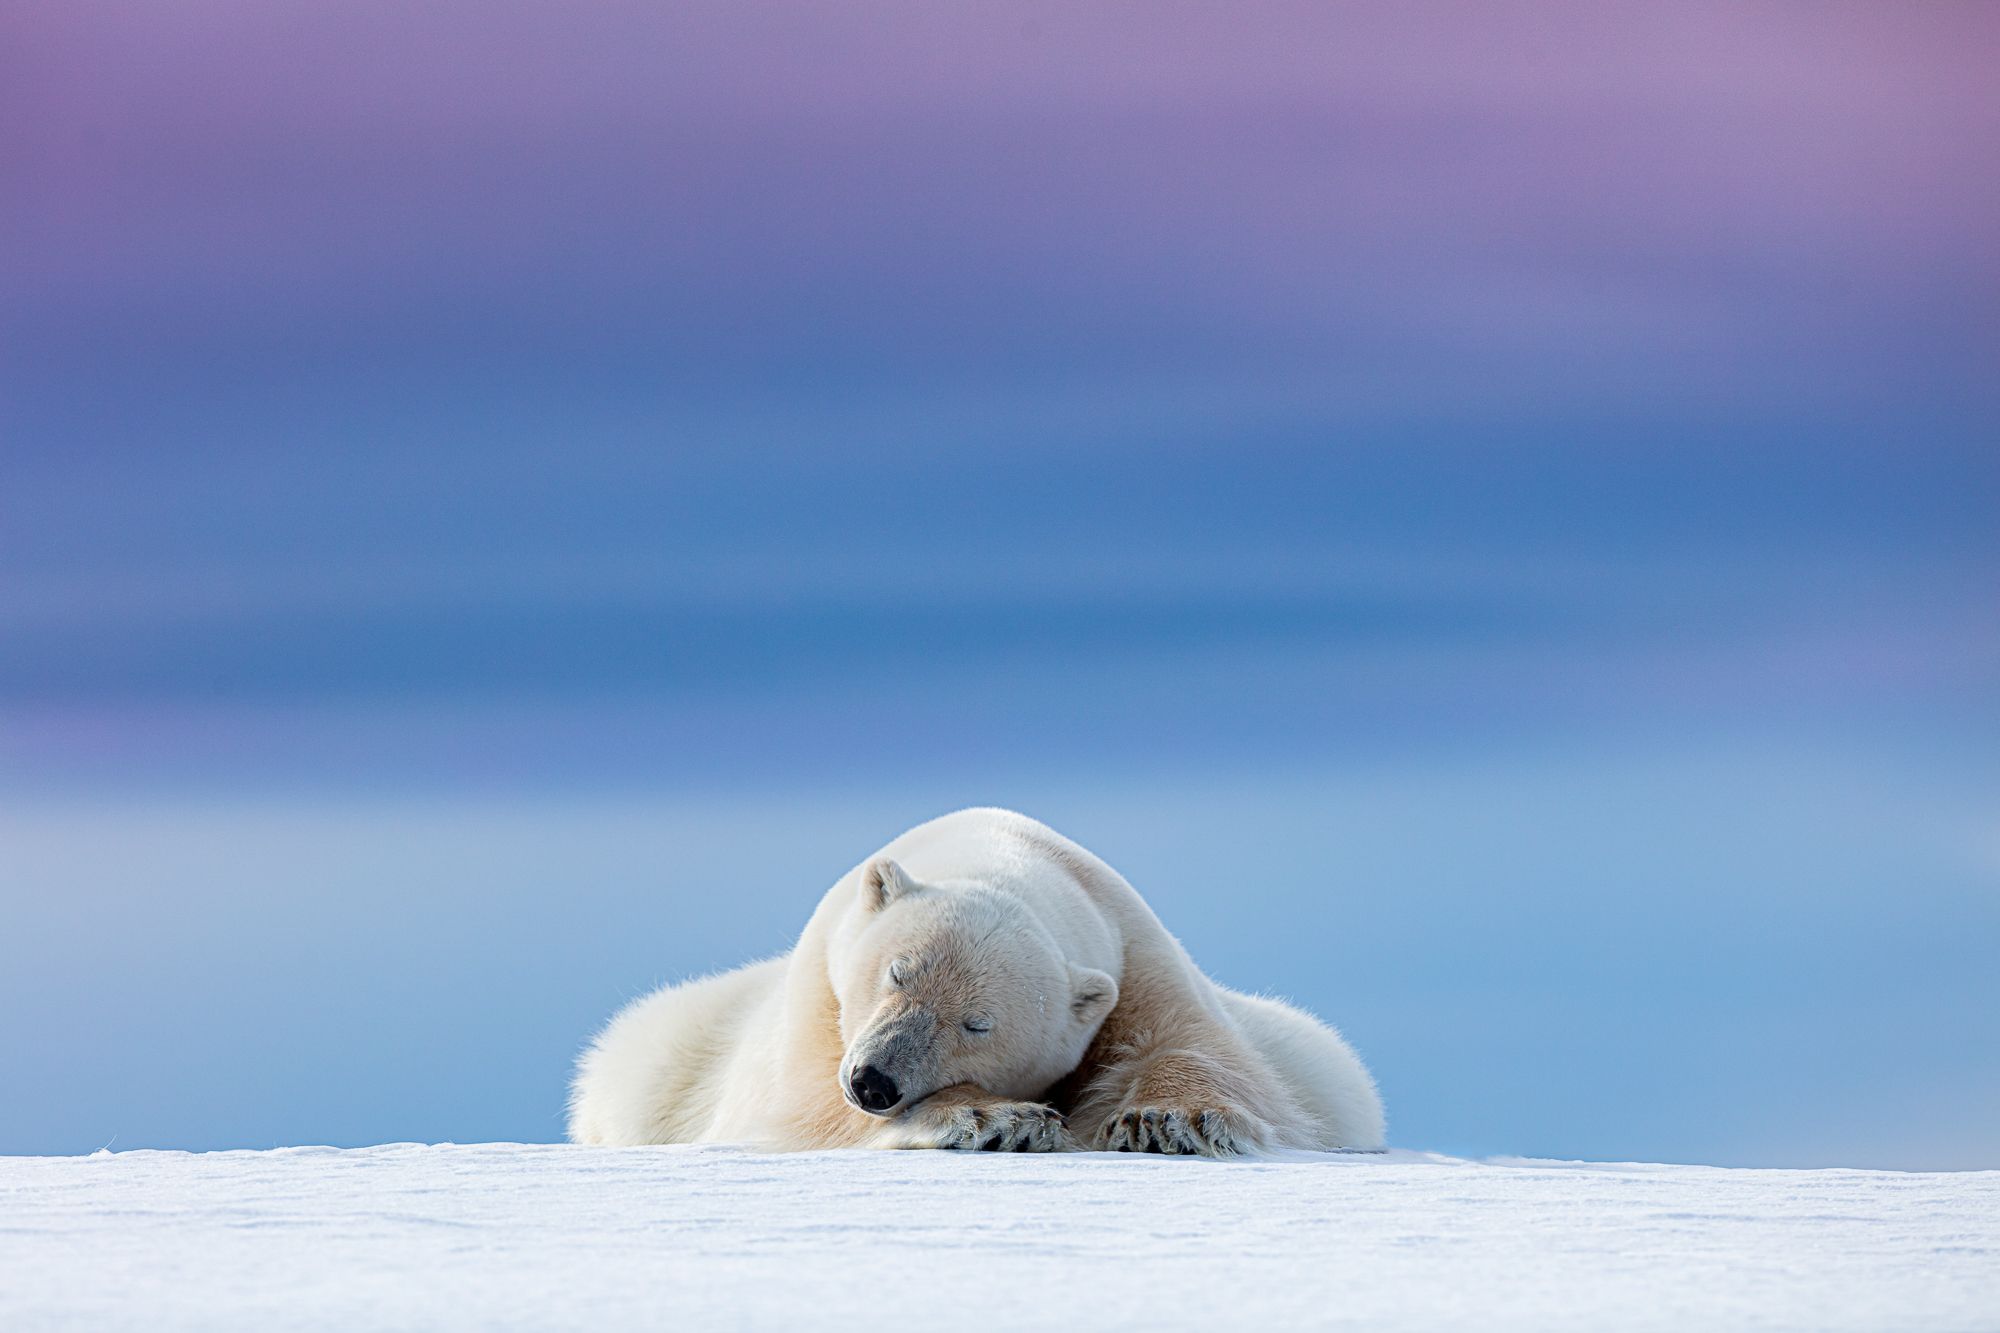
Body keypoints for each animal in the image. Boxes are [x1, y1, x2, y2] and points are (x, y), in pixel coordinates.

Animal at [568, 807, 1384, 1155]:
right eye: (896, 972)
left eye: (977, 1023)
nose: (874, 1082)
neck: (1002, 852)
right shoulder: (819, 994)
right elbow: (801, 1103)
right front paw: (998, 1118)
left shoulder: (1133, 952)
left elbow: (1203, 1048)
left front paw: (1161, 1119)